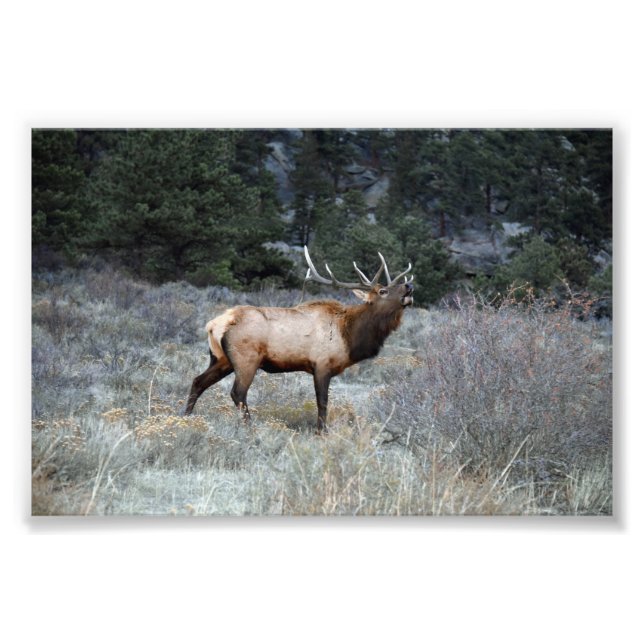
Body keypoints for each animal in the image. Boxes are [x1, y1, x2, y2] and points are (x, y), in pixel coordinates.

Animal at [184, 246, 414, 432]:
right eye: (383, 291)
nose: (409, 286)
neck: (349, 336)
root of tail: (215, 324)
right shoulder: (322, 364)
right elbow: (322, 403)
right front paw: (322, 432)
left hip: (221, 359)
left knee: (198, 381)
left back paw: (185, 418)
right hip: (246, 359)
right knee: (237, 393)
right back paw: (250, 428)